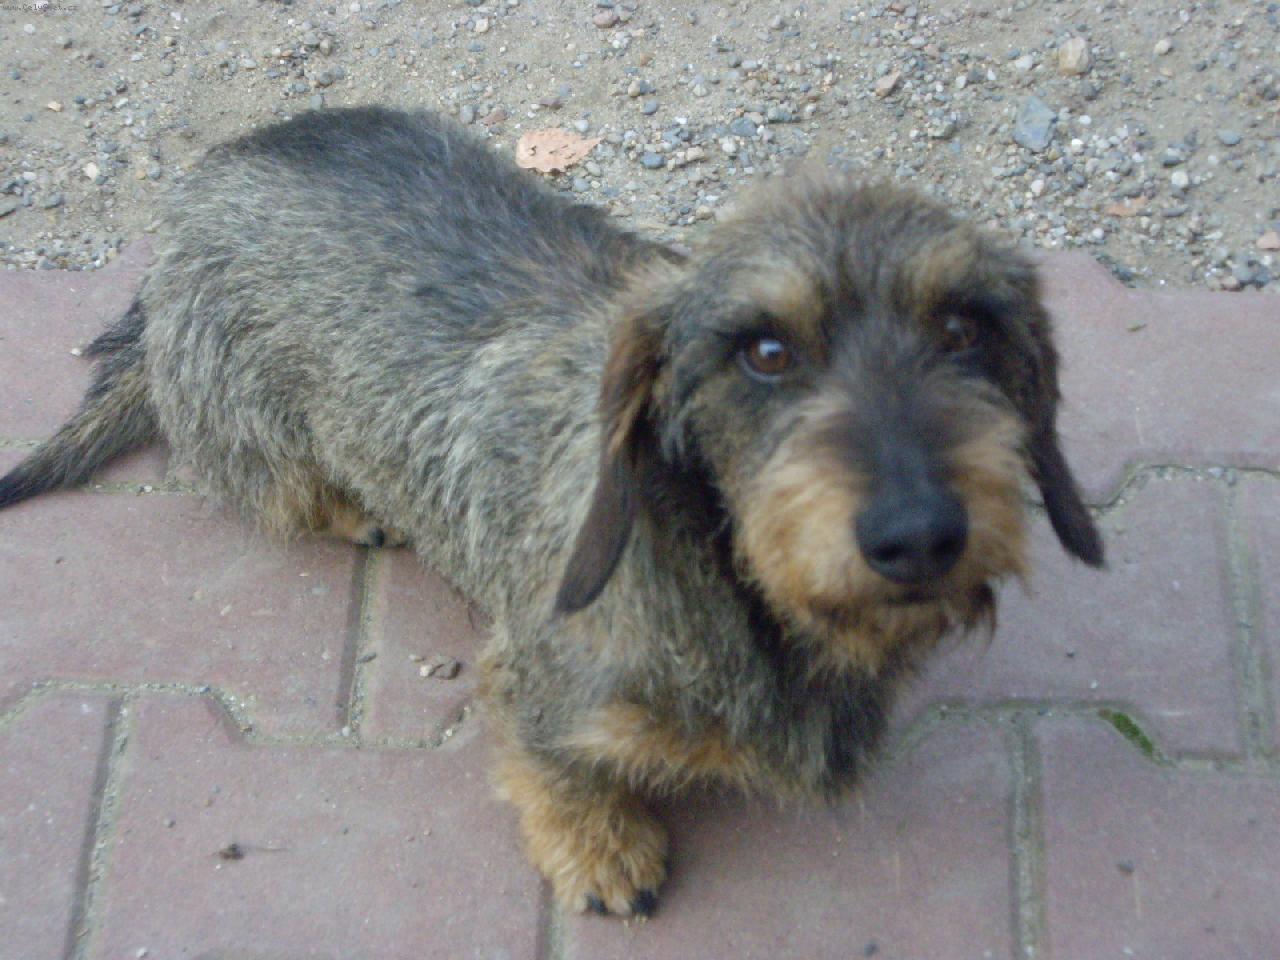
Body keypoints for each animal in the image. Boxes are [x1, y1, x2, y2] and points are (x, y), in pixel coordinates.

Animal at [0, 106, 1103, 917]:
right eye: (764, 351)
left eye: (963, 329)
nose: (918, 534)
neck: (735, 588)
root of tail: (191, 205)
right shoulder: (541, 681)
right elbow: (555, 765)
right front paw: (599, 845)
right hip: (254, 438)